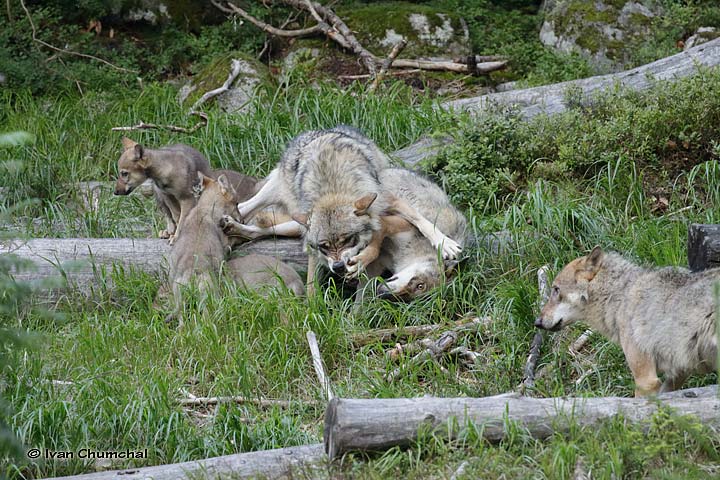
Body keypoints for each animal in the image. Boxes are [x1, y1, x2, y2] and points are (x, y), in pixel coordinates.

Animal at [219, 125, 462, 292]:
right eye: (324, 247)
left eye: (347, 240)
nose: (336, 267)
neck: (333, 189)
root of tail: (317, 130)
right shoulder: (313, 243)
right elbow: (311, 280)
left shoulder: (387, 201)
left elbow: (420, 220)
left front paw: (445, 243)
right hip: (279, 194)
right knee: (246, 207)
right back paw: (231, 224)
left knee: (262, 227)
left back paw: (235, 229)